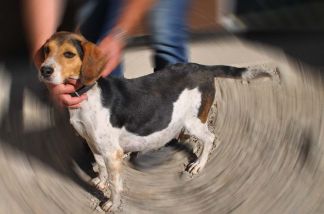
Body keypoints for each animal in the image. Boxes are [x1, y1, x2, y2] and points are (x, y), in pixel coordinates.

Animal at [36, 31, 278, 212]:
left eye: (69, 54)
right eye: (47, 50)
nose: (44, 70)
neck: (87, 95)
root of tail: (204, 68)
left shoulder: (112, 154)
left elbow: (115, 185)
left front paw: (112, 204)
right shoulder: (94, 144)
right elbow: (101, 169)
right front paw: (100, 181)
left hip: (193, 121)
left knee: (210, 138)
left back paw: (198, 165)